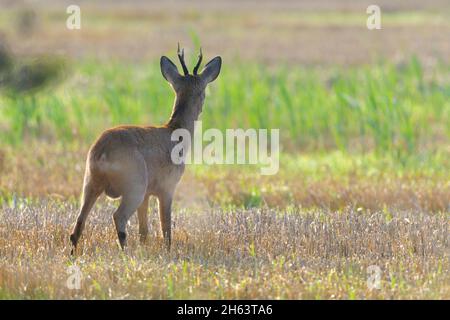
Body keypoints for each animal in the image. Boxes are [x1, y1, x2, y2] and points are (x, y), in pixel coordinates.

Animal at [69, 45, 222, 252]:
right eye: (204, 92)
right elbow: (165, 227)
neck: (175, 133)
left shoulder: (148, 194)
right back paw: (125, 252)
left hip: (90, 182)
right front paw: (167, 251)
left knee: (78, 223)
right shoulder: (166, 187)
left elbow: (144, 231)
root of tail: (102, 152)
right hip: (135, 185)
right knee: (118, 216)